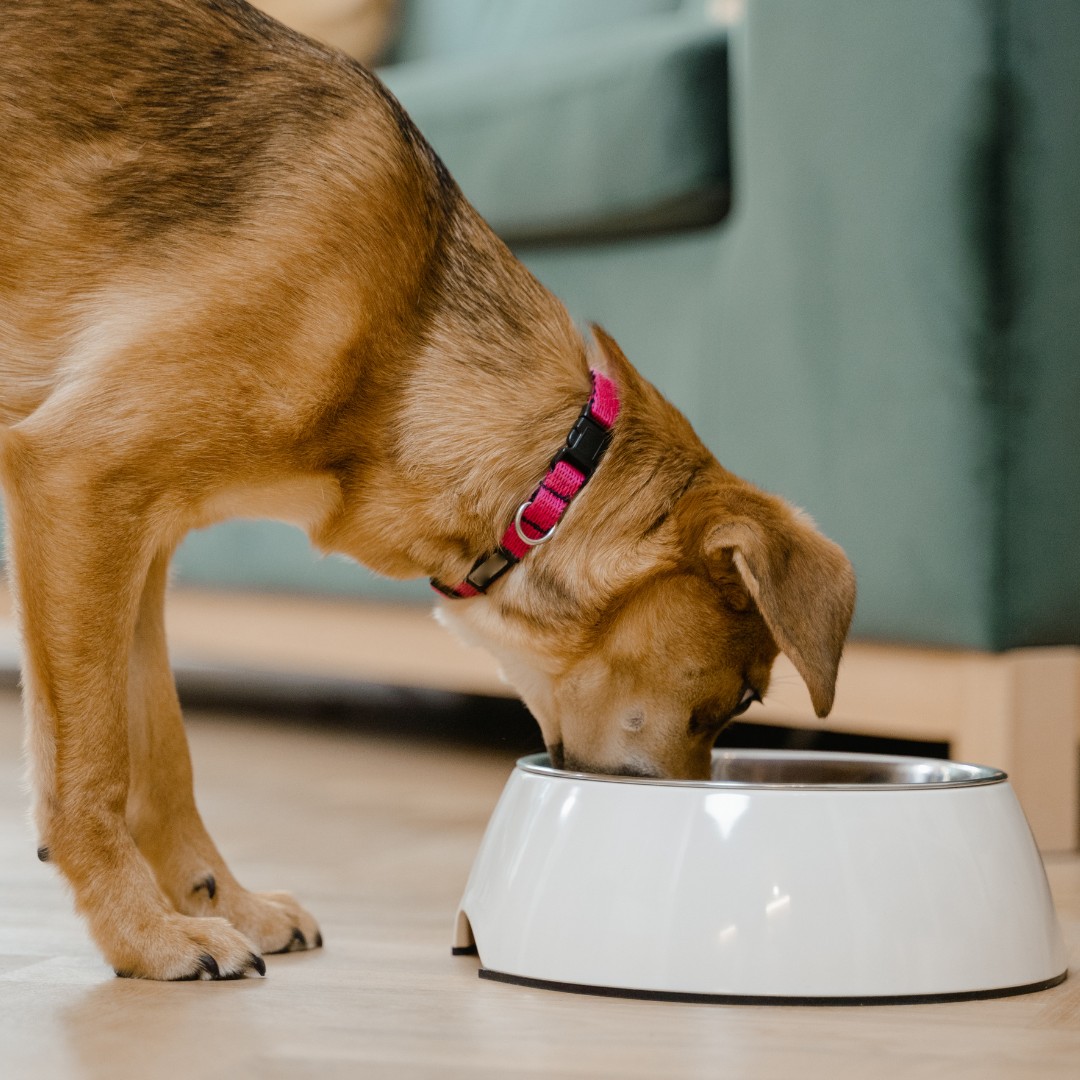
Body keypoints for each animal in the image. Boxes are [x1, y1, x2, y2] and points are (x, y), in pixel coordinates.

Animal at [2, 0, 851, 980]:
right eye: (748, 697)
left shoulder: (136, 535)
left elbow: (163, 753)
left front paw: (219, 902)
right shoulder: (79, 481)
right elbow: (93, 763)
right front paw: (147, 936)